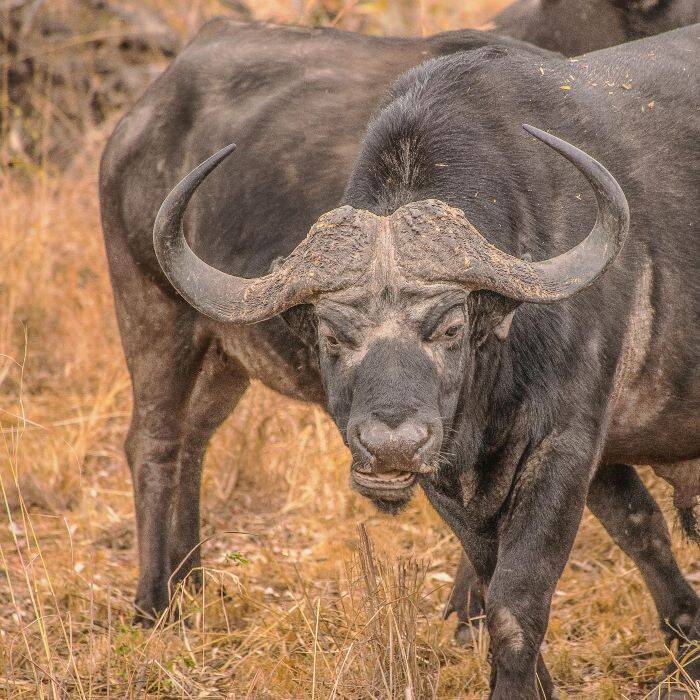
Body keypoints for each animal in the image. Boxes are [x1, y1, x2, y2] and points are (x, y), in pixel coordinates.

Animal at [150, 25, 699, 699]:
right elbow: (492, 581)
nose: (392, 445)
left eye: (451, 327)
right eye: (332, 335)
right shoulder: (450, 474)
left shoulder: (566, 448)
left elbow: (517, 601)